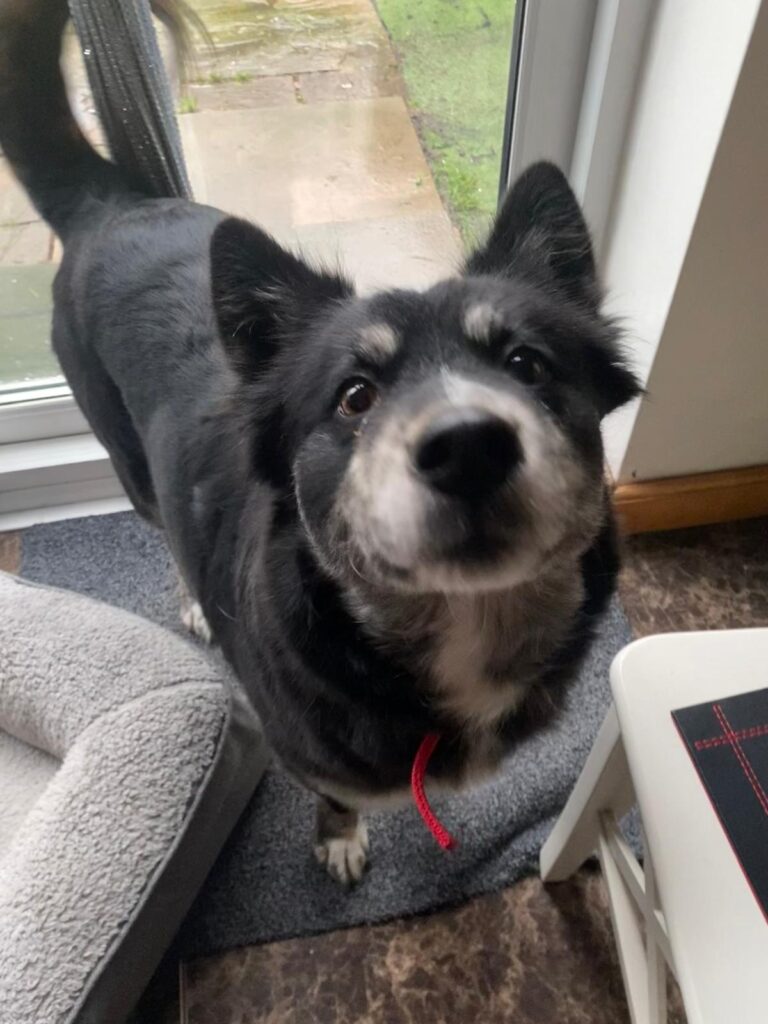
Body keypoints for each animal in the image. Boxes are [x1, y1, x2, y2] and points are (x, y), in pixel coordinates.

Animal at [0, 0, 639, 883]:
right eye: (354, 396)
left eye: (526, 364)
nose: (468, 447)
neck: (457, 629)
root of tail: (110, 203)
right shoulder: (305, 750)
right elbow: (335, 797)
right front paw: (339, 841)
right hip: (128, 460)